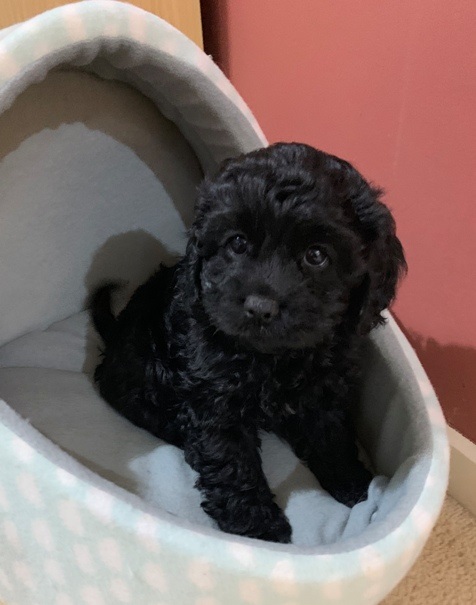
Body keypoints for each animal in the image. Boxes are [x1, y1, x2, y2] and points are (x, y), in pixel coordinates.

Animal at [92, 143, 406, 544]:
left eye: (317, 255)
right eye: (238, 243)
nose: (260, 308)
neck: (272, 357)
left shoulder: (322, 388)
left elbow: (330, 432)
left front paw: (354, 483)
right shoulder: (213, 396)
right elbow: (231, 459)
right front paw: (258, 526)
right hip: (142, 366)